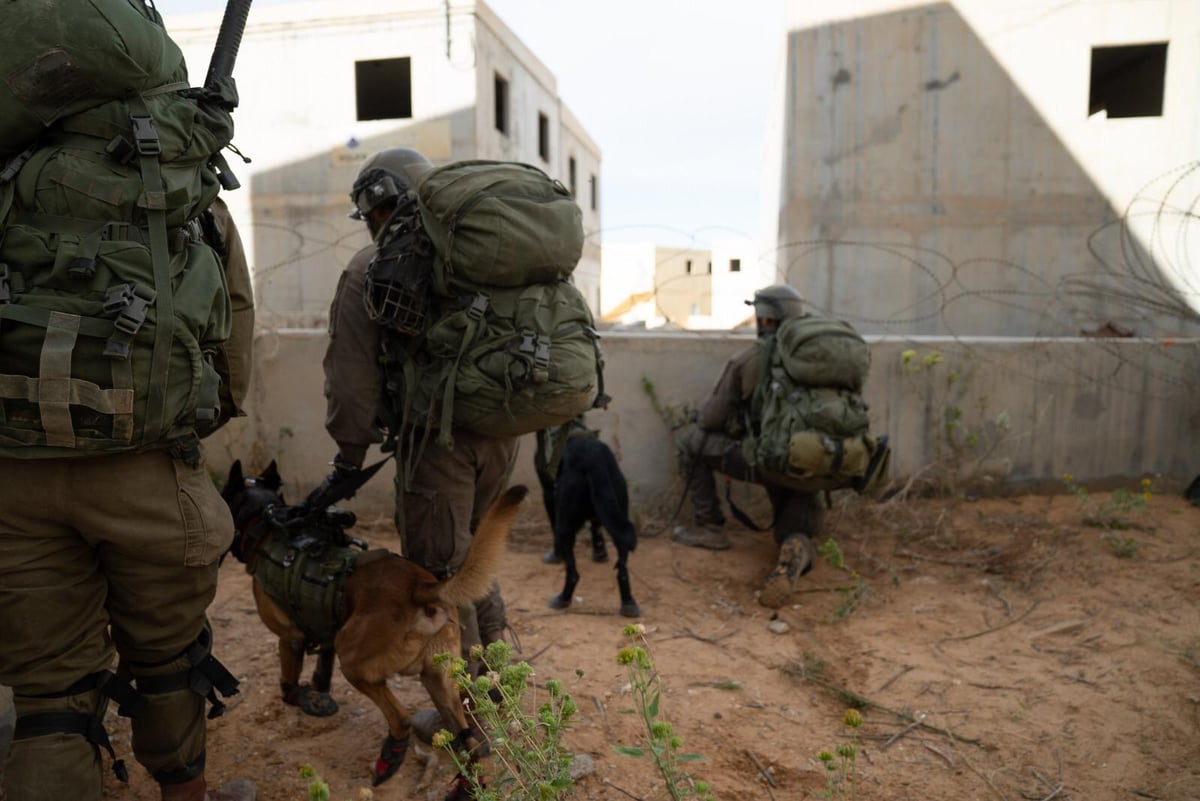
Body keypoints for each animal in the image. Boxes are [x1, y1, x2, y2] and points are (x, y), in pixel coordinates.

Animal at [225, 462, 525, 786]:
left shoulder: (290, 638)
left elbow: (289, 685)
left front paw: (304, 697)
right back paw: (468, 783)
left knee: (402, 718)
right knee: (466, 734)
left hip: (353, 659)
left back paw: (389, 760)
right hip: (439, 678)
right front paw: (319, 693)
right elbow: (322, 667)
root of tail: (421, 587)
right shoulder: (328, 635)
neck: (264, 525)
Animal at [544, 434, 638, 618]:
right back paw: (628, 603)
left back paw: (562, 598)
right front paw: (600, 554)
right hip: (618, 506)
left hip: (565, 522)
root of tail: (594, 458)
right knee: (622, 565)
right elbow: (597, 530)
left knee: (573, 572)